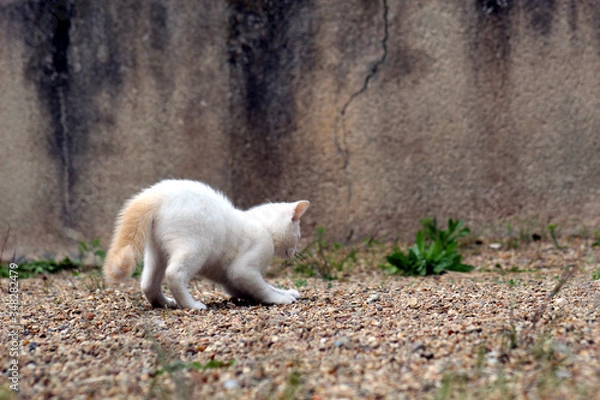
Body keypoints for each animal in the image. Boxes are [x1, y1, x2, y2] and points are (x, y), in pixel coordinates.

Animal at [102, 180, 310, 310]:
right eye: (298, 234)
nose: (295, 252)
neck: (262, 225)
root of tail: (157, 193)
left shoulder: (231, 282)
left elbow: (263, 286)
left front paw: (286, 291)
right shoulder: (242, 270)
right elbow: (263, 288)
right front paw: (280, 299)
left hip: (156, 253)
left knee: (147, 283)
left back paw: (164, 303)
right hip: (195, 248)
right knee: (174, 274)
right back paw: (191, 305)